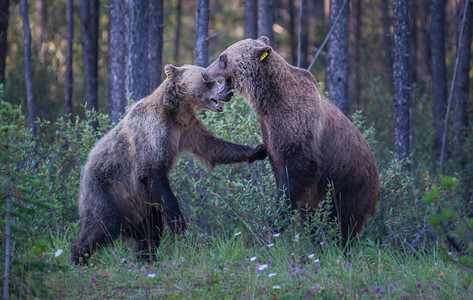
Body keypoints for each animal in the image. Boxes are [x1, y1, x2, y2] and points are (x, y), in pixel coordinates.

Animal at [72, 64, 268, 264]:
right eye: (207, 79)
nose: (228, 93)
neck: (176, 111)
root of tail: (83, 173)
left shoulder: (186, 129)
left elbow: (212, 147)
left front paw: (258, 149)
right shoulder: (153, 133)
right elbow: (153, 172)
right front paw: (179, 225)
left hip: (143, 203)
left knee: (150, 231)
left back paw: (145, 258)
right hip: (109, 190)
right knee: (103, 224)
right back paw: (78, 256)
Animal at [201, 36, 378, 245]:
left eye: (223, 58)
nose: (204, 73)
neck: (268, 101)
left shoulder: (299, 128)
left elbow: (294, 173)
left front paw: (277, 221)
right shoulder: (270, 132)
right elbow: (280, 172)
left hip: (350, 182)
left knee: (342, 220)